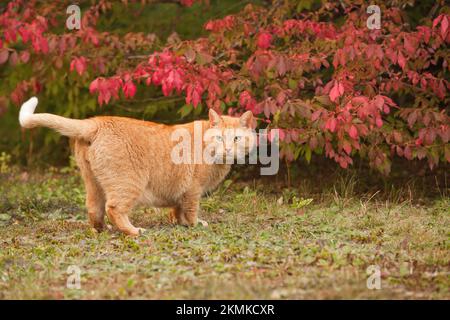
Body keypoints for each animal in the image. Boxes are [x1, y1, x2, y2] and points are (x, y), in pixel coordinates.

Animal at [19, 97, 255, 235]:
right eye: (219, 138)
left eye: (235, 139)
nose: (227, 149)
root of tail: (97, 121)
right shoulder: (192, 190)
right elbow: (190, 211)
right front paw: (194, 224)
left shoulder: (180, 192)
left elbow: (177, 210)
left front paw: (179, 223)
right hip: (129, 184)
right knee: (114, 209)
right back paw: (134, 231)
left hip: (93, 184)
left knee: (94, 210)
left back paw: (102, 229)